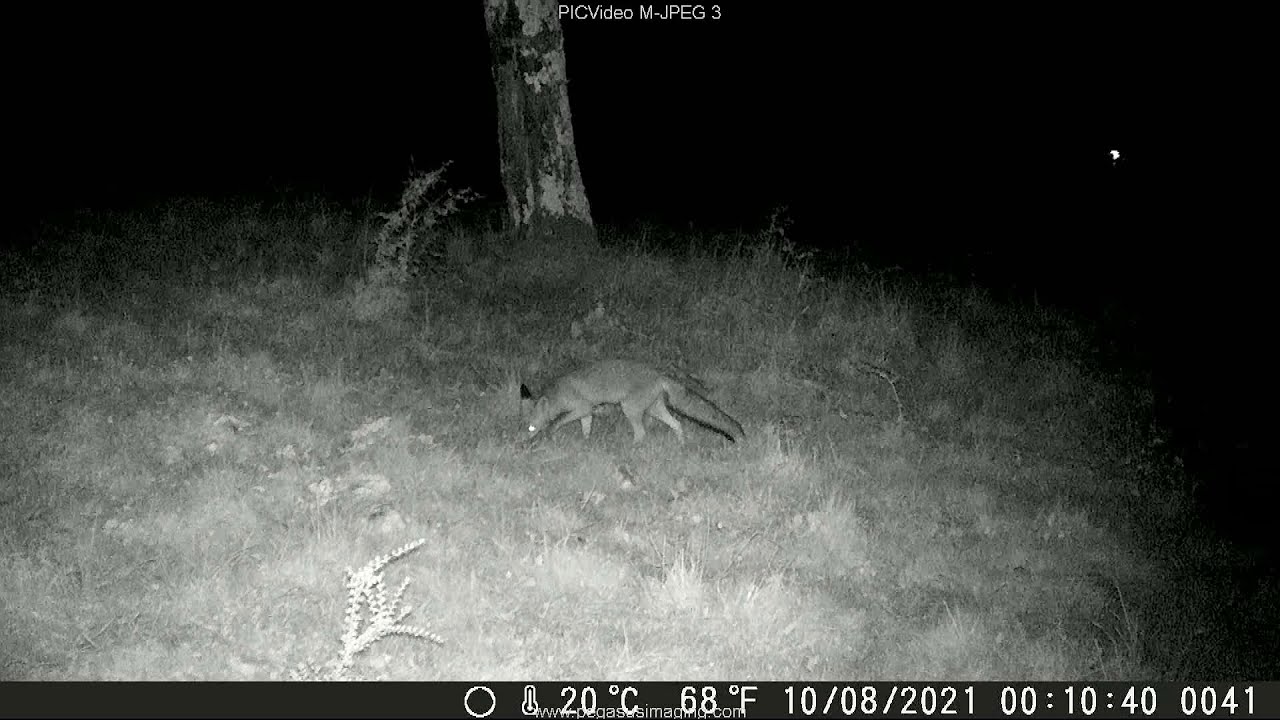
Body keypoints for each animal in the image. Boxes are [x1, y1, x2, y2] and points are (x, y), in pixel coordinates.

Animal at [519, 359, 745, 445]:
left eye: (531, 428)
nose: (523, 444)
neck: (557, 393)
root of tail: (658, 373)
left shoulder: (582, 407)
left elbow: (557, 422)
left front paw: (550, 433)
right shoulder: (586, 413)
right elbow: (586, 428)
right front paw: (586, 443)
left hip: (629, 408)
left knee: (642, 433)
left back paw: (630, 448)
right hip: (654, 410)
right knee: (677, 424)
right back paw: (682, 444)